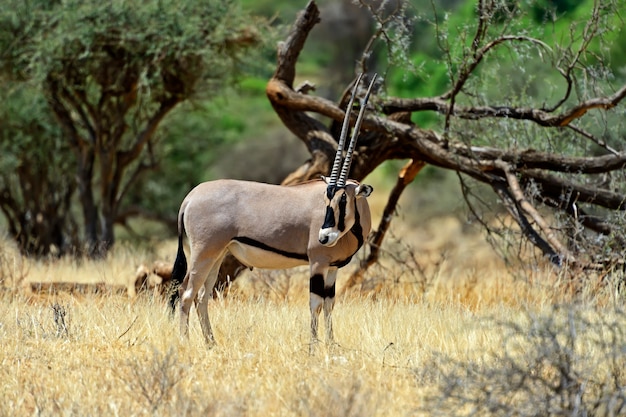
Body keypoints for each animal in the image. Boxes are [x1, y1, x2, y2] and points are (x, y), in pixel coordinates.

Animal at [169, 73, 376, 346]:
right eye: (327, 198)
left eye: (343, 200)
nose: (324, 237)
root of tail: (190, 198)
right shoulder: (317, 263)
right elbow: (315, 304)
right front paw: (313, 346)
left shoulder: (332, 268)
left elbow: (330, 305)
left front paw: (332, 344)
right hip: (203, 253)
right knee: (186, 292)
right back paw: (185, 342)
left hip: (217, 254)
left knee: (202, 296)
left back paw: (211, 343)